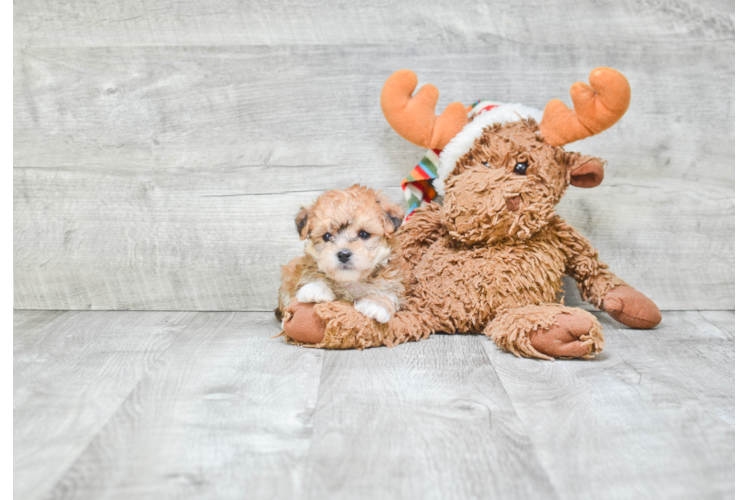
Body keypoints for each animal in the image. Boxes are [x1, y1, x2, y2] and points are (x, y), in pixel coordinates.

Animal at [278, 185, 410, 324]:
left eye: (364, 234)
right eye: (327, 236)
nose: (343, 254)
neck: (350, 280)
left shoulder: (393, 279)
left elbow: (388, 291)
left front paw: (375, 304)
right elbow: (312, 275)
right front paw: (315, 288)